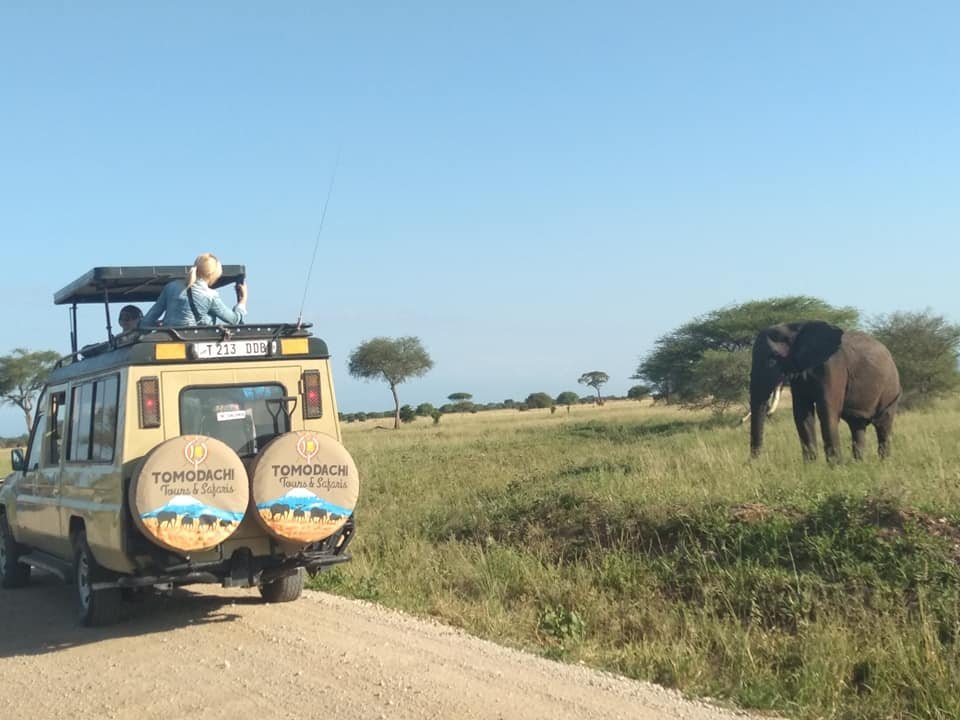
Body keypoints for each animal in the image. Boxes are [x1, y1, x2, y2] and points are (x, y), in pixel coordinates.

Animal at [752, 322, 900, 462]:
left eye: (773, 358)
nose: (756, 462)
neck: (796, 328)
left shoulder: (832, 366)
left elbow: (827, 412)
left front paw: (836, 467)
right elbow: (802, 414)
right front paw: (811, 466)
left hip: (891, 389)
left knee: (883, 424)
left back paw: (883, 463)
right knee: (857, 426)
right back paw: (859, 464)